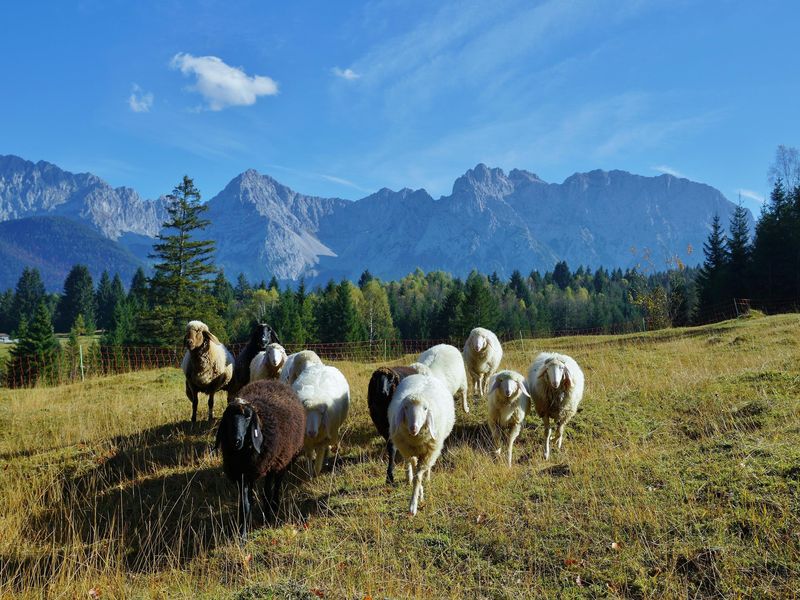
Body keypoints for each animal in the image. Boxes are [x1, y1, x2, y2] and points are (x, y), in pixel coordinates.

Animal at [214, 380, 304, 540]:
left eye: (248, 417)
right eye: (228, 418)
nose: (235, 441)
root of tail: (272, 381)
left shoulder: (270, 466)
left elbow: (266, 494)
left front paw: (267, 520)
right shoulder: (242, 474)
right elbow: (245, 504)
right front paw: (243, 533)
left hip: (284, 459)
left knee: (278, 482)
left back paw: (274, 505)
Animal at [390, 372, 454, 512]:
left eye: (425, 408)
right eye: (406, 407)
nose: (413, 428)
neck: (416, 440)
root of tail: (423, 375)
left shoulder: (428, 453)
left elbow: (418, 477)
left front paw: (413, 505)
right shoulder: (409, 451)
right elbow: (415, 472)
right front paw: (419, 494)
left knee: (428, 467)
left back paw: (427, 477)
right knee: (409, 463)